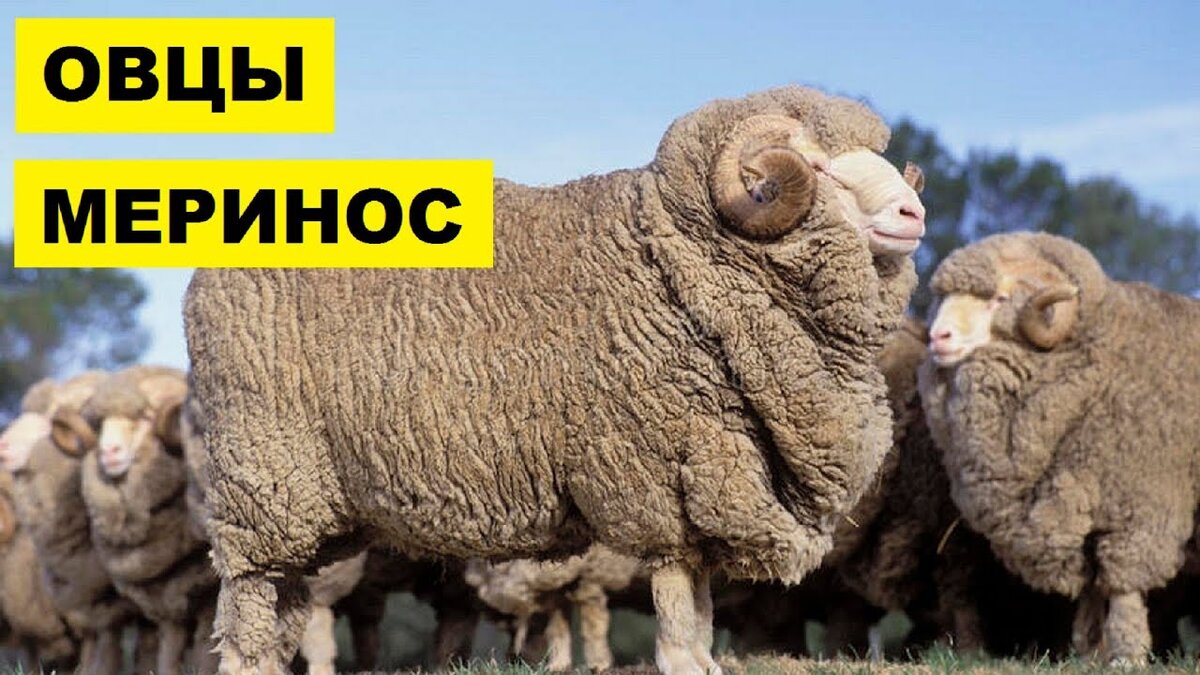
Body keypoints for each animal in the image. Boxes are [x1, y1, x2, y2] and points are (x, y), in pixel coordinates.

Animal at [465, 544, 643, 671]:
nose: (514, 661)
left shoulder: (589, 577)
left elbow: (592, 628)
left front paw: (599, 665)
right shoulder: (556, 595)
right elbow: (557, 630)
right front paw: (558, 666)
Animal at [917, 231, 1200, 664]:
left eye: (1000, 299)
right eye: (943, 299)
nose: (938, 338)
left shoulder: (1142, 506)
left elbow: (1123, 586)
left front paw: (1127, 654)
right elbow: (1090, 591)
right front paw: (1086, 652)